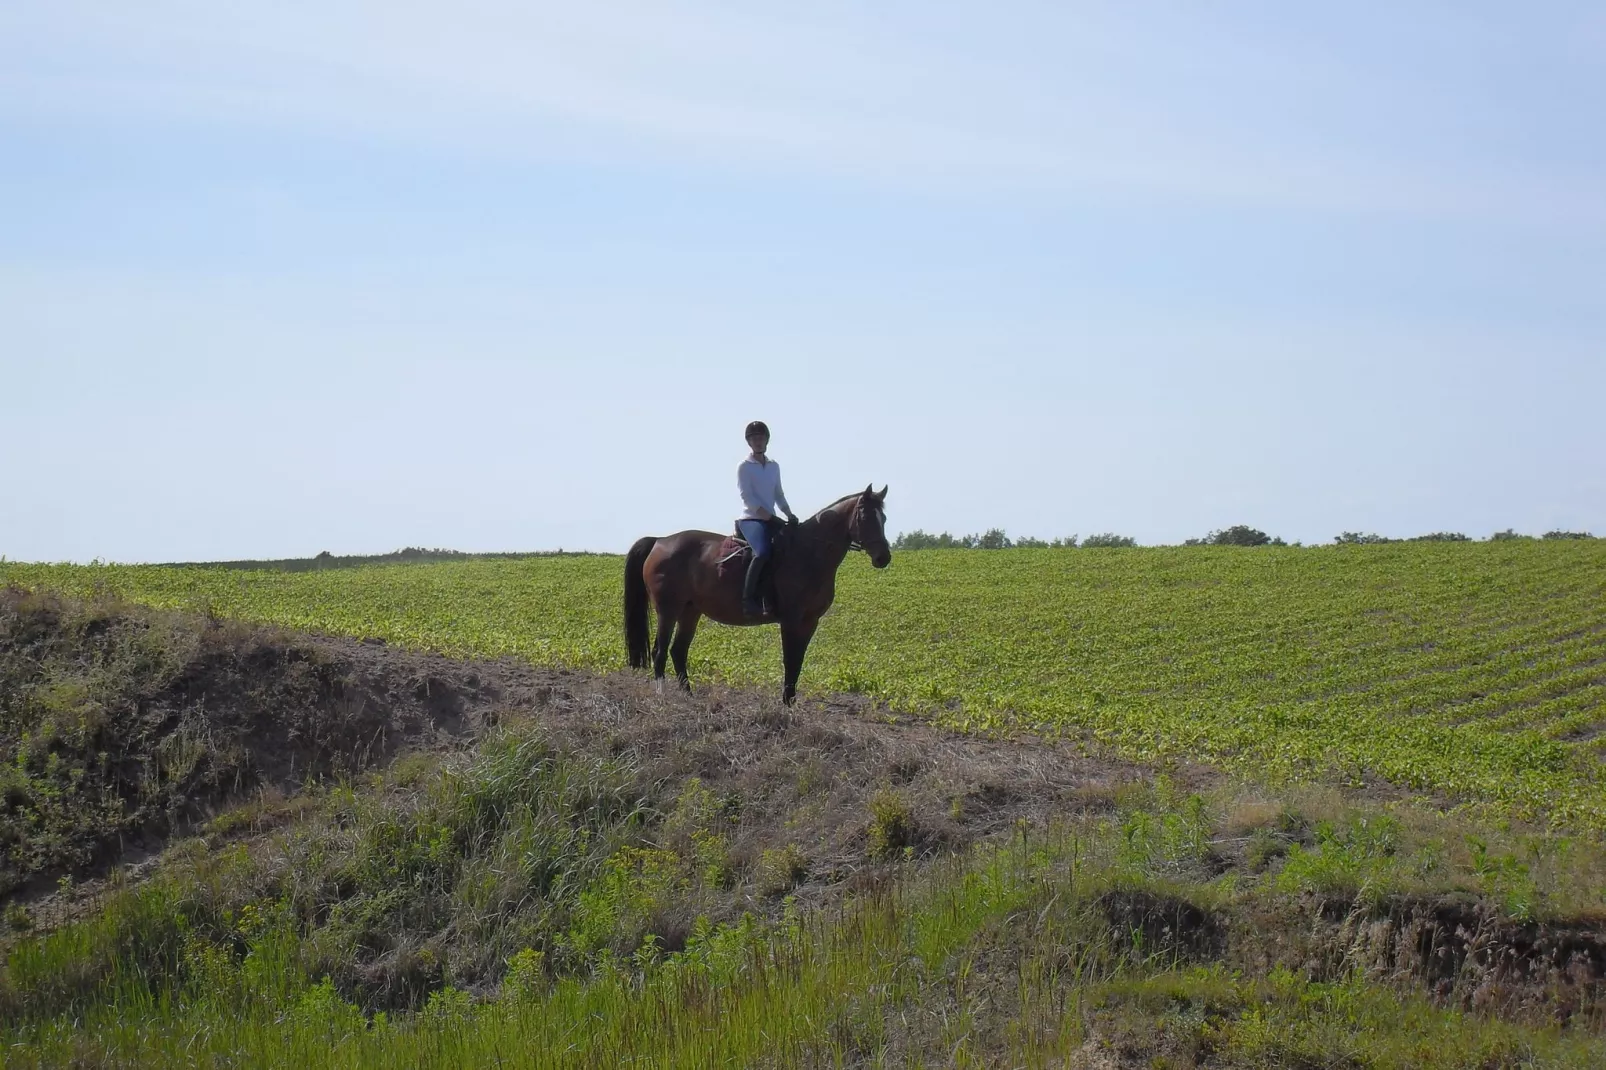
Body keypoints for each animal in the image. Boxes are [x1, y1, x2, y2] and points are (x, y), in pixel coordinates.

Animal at [623, 481, 892, 700]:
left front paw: (791, 704)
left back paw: (689, 697)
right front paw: (786, 704)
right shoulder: (791, 619)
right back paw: (663, 698)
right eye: (865, 517)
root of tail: (660, 541)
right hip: (667, 610)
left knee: (678, 651)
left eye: (884, 519)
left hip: (691, 611)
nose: (883, 557)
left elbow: (798, 662)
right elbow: (789, 659)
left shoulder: (810, 620)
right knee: (659, 652)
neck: (808, 553)